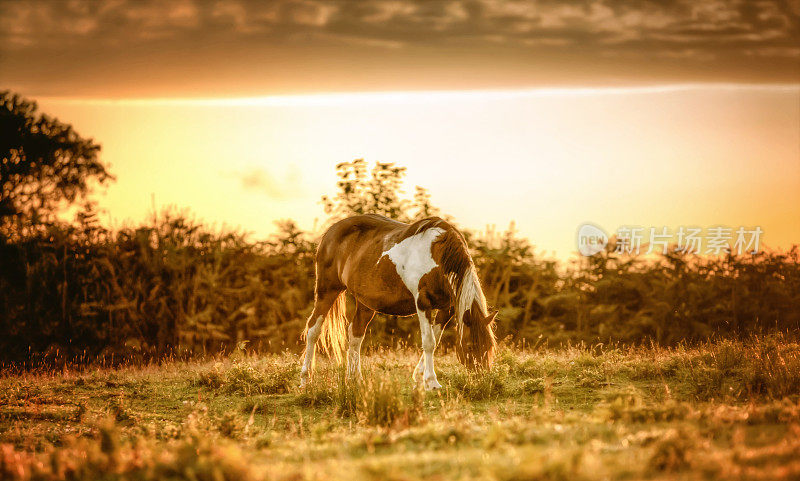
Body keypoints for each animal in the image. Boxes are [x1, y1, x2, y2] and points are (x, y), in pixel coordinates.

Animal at [300, 214, 496, 390]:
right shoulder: (422, 302)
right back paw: (305, 380)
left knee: (355, 334)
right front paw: (431, 382)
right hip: (328, 291)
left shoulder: (447, 308)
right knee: (313, 329)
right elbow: (429, 341)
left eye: (489, 346)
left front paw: (419, 376)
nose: (482, 380)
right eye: (470, 346)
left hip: (366, 303)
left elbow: (435, 338)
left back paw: (355, 380)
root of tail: (331, 231)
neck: (437, 256)